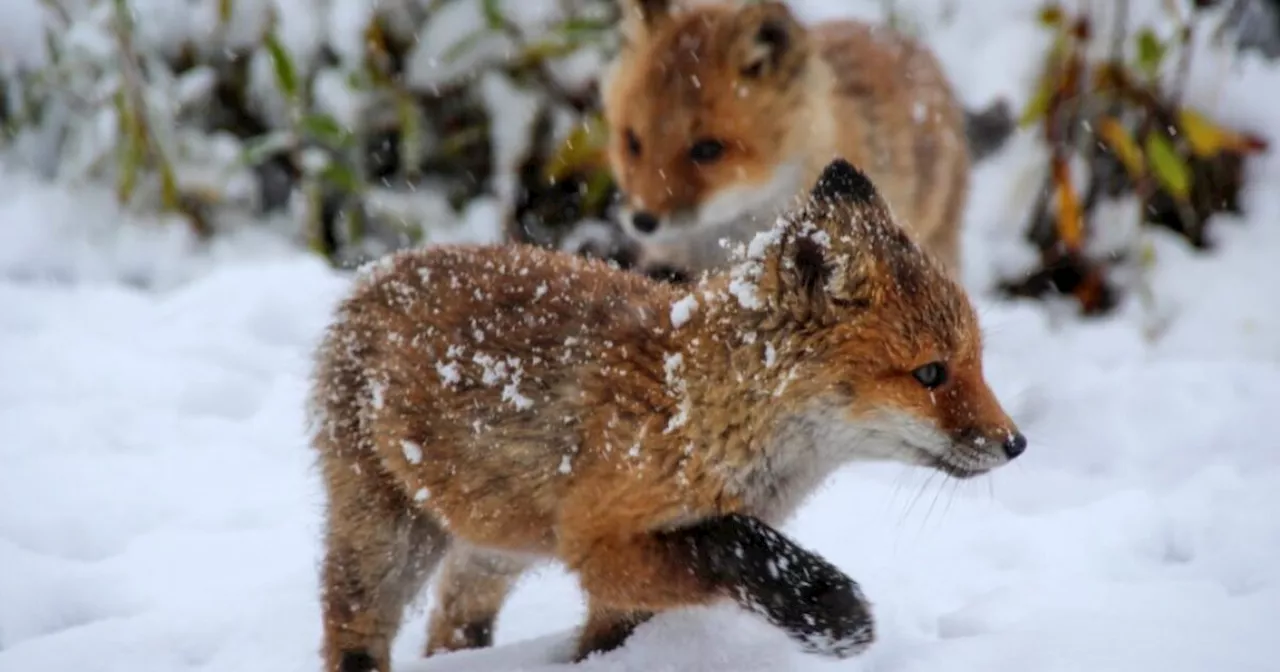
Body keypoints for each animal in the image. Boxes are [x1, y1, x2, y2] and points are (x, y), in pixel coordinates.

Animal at [309, 160, 1029, 665]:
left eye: (977, 362)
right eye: (930, 374)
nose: (1015, 443)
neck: (694, 408)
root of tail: (377, 272)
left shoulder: (612, 583)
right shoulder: (600, 541)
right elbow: (731, 546)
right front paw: (825, 608)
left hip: (494, 543)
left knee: (451, 625)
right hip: (387, 539)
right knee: (353, 632)